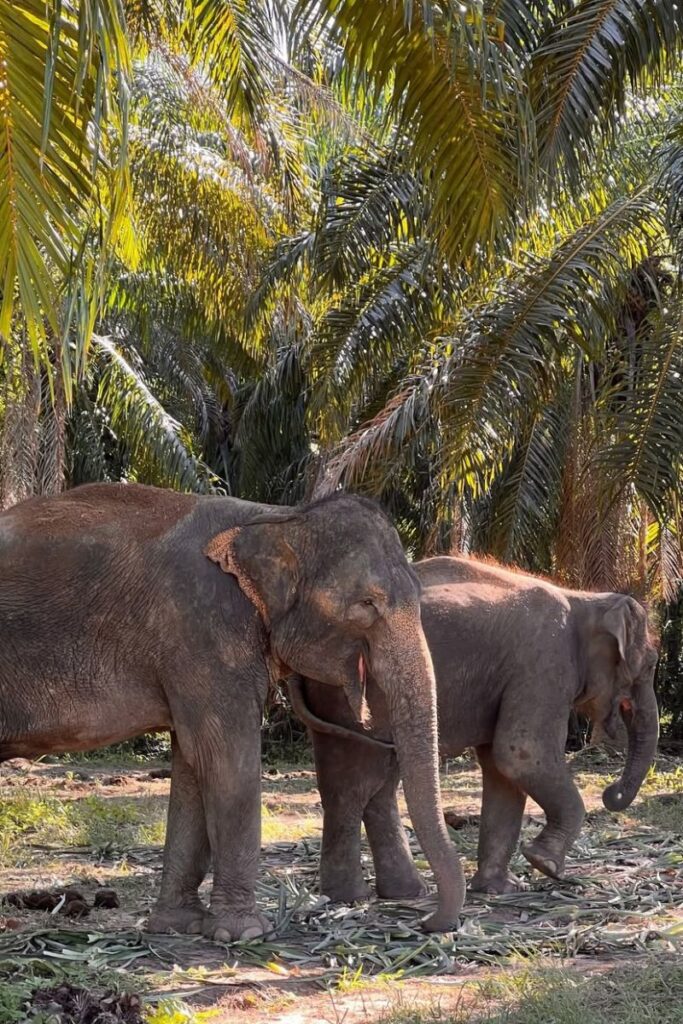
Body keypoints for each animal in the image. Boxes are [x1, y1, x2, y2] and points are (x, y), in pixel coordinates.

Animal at [0, 484, 465, 939]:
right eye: (368, 603)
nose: (424, 922)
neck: (278, 518)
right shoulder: (205, 628)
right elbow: (225, 758)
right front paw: (245, 934)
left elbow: (192, 763)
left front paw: (178, 926)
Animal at [290, 555, 660, 901]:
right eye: (649, 665)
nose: (611, 793)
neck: (586, 599)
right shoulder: (544, 662)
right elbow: (521, 754)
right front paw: (545, 865)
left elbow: (502, 770)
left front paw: (501, 889)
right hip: (353, 691)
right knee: (357, 784)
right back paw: (357, 896)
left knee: (366, 784)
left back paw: (398, 893)